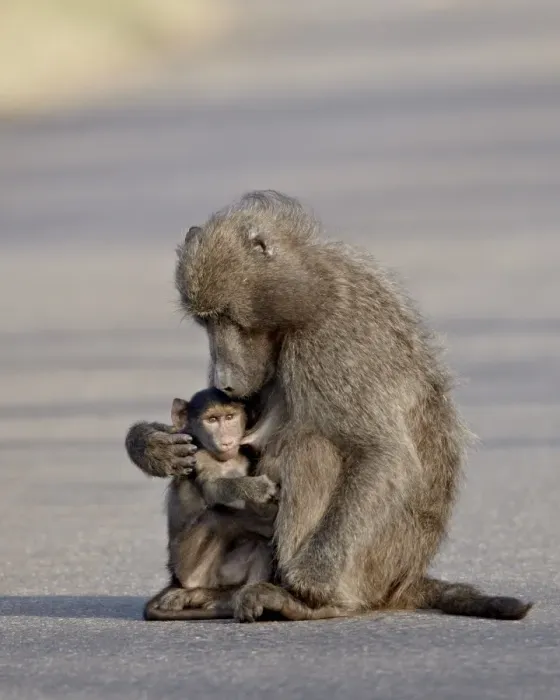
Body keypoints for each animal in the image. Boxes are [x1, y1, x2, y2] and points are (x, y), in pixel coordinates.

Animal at [143, 388, 278, 621]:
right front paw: (258, 489)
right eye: (212, 420)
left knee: (258, 545)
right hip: (191, 566)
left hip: (225, 574)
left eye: (230, 417)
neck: (226, 461)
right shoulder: (198, 456)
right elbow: (213, 488)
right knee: (217, 515)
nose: (226, 440)